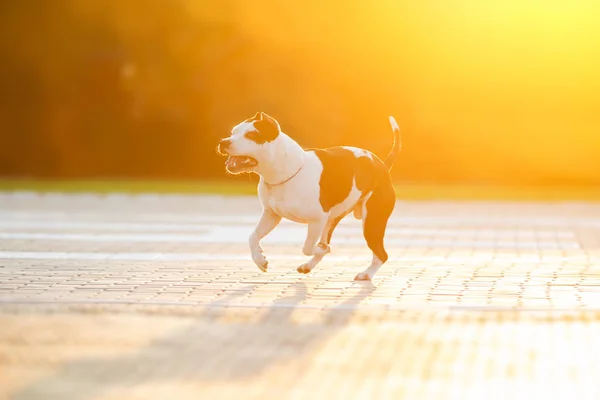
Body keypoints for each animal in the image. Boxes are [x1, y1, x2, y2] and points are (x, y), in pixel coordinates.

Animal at [218, 111, 400, 282]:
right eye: (234, 132)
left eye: (251, 134)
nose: (224, 142)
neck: (286, 172)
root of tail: (382, 165)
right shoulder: (271, 215)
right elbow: (253, 237)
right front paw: (260, 260)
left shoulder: (317, 220)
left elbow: (307, 247)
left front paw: (321, 249)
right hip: (333, 220)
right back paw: (308, 266)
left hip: (371, 222)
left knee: (381, 254)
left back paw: (366, 274)